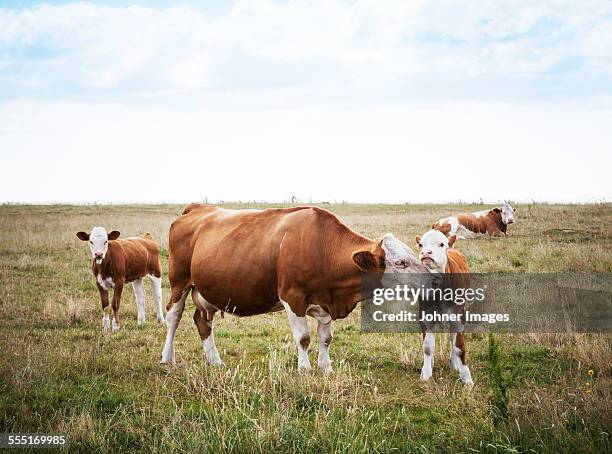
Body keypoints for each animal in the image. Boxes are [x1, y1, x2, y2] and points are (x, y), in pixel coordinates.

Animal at [163, 204, 430, 370]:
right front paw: (305, 368)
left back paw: (215, 360)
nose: (433, 281)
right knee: (173, 317)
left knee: (202, 320)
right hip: (179, 282)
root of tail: (198, 208)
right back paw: (167, 358)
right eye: (401, 262)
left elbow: (326, 338)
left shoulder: (325, 303)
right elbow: (303, 338)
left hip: (204, 291)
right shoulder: (292, 297)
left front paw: (326, 367)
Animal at [416, 231, 474, 384]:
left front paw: (466, 377)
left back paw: (455, 364)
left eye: (441, 244)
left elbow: (459, 347)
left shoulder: (458, 317)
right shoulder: (425, 317)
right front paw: (426, 373)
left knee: (452, 338)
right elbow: (427, 347)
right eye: (421, 244)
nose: (426, 253)